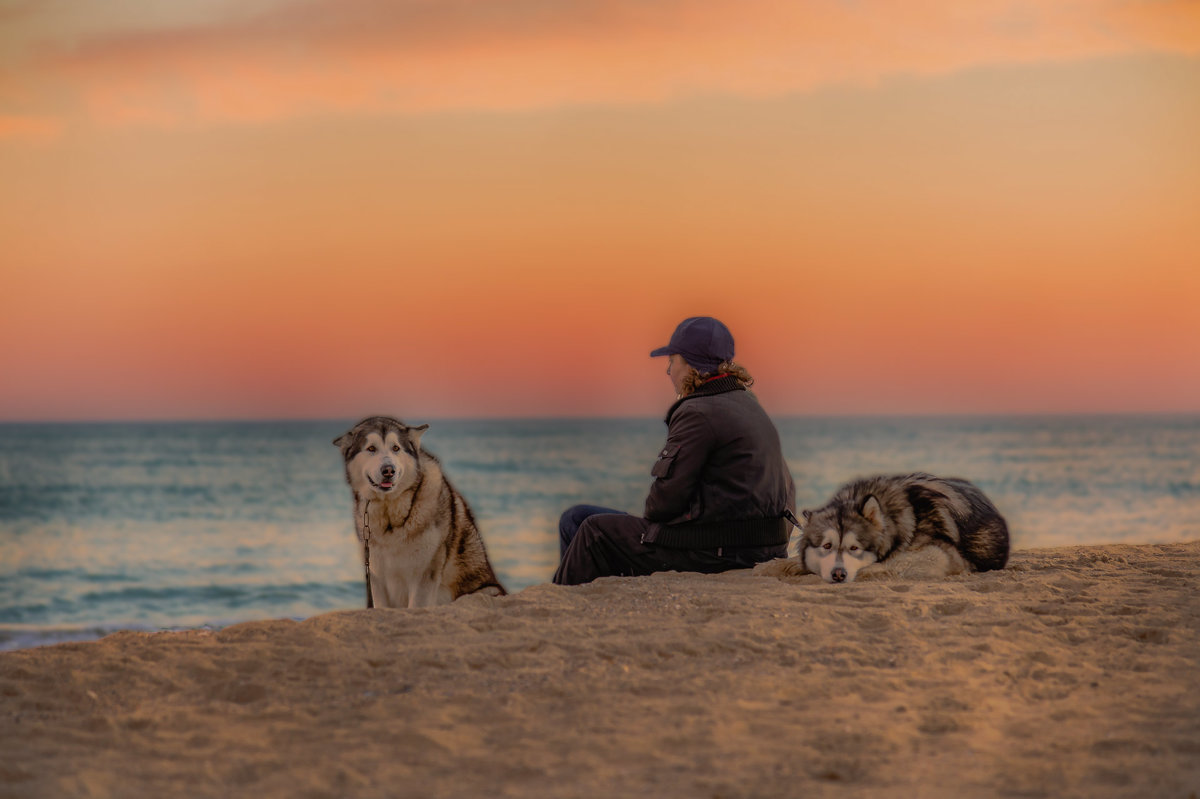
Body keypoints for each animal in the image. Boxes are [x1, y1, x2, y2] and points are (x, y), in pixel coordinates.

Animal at [333, 412, 506, 607]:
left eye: (396, 448)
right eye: (371, 448)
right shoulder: (377, 578)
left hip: (482, 592)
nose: (388, 470)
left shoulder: (424, 575)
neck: (390, 513)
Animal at [763, 470, 1008, 583]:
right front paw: (776, 566)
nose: (839, 574)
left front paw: (870, 569)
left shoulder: (940, 555)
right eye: (827, 546)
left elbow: (894, 562)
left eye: (854, 548)